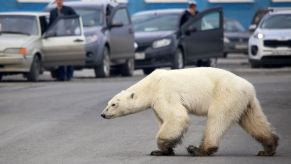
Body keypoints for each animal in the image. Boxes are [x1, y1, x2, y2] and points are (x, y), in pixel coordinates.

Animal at [101, 67, 280, 156]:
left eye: (113, 104)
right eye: (108, 103)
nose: (103, 114)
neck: (150, 84)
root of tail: (249, 87)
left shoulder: (164, 92)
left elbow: (176, 116)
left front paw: (160, 148)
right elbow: (165, 119)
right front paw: (166, 149)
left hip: (226, 94)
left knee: (217, 118)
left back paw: (199, 149)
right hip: (245, 101)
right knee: (253, 121)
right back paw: (268, 148)